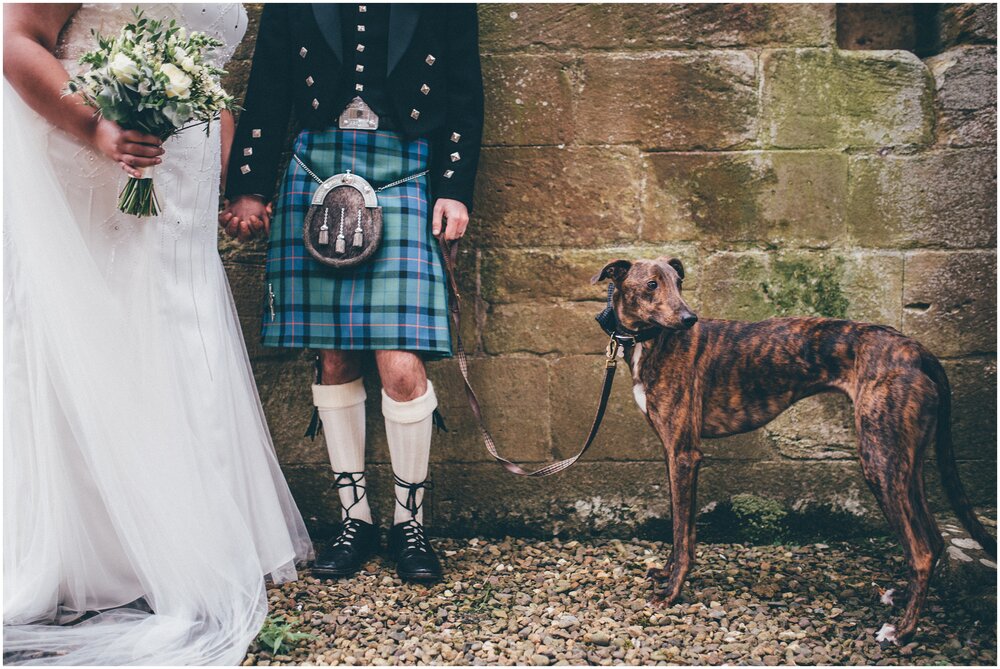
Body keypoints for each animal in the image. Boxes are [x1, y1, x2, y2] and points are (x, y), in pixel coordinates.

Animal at [592, 254, 992, 640]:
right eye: (651, 284)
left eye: (678, 282)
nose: (690, 319)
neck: (654, 341)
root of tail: (916, 349)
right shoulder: (674, 452)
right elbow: (684, 529)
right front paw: (666, 575)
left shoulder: (684, 454)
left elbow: (680, 532)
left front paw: (672, 592)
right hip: (906, 460)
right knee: (935, 541)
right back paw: (903, 600)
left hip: (880, 460)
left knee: (921, 550)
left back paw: (903, 631)